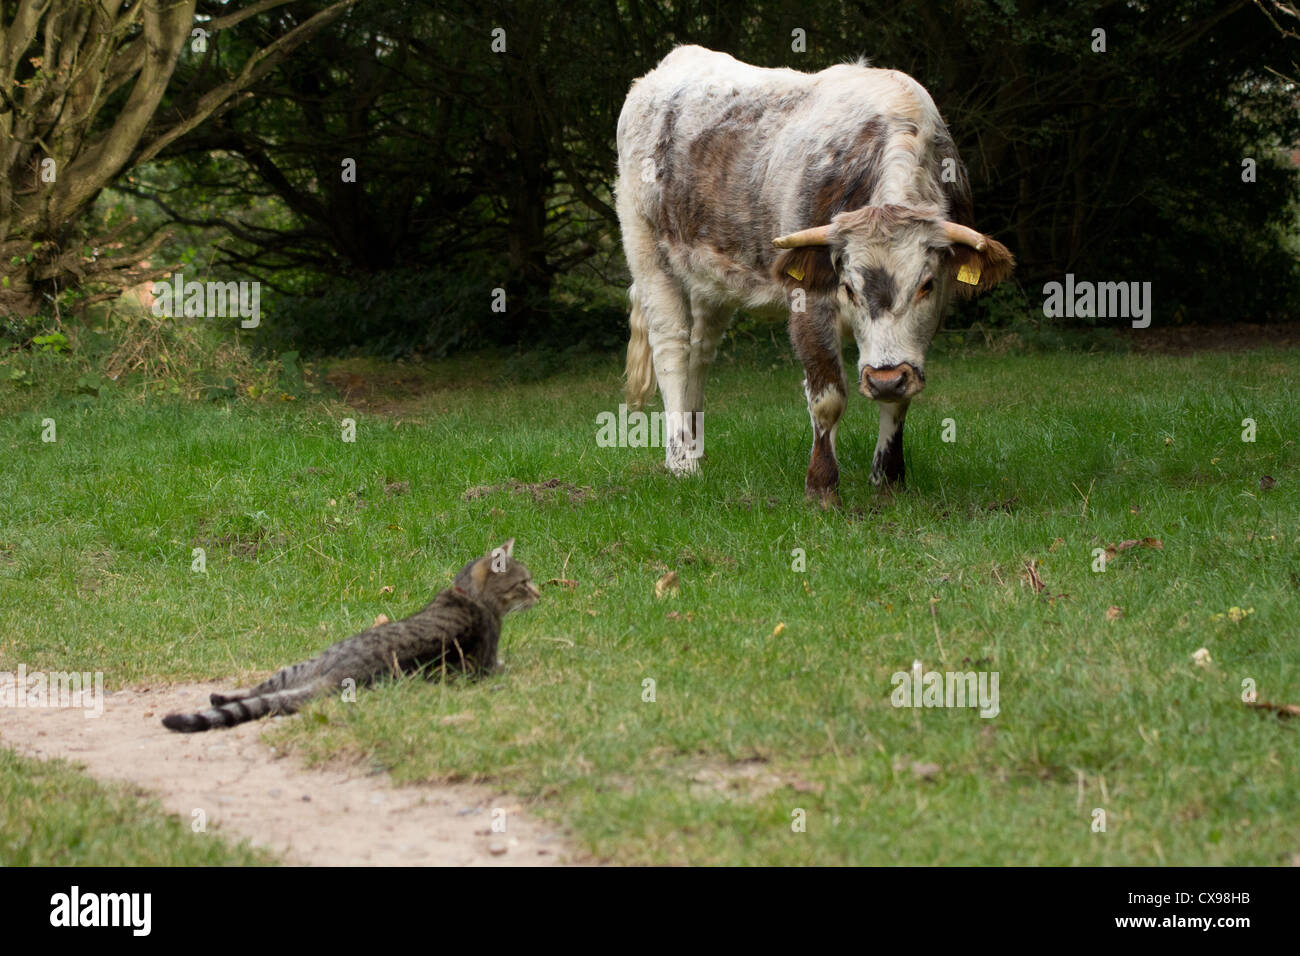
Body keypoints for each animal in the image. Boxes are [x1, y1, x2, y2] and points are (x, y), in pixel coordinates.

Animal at [161, 541, 538, 738]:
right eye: (524, 582)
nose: (539, 593)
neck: (470, 595)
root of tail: (340, 676)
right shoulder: (491, 663)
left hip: (305, 666)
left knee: (256, 691)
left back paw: (218, 698)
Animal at [618, 44, 1013, 504]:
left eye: (927, 285)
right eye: (848, 288)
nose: (884, 379)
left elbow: (898, 401)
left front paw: (888, 480)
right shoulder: (808, 299)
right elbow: (828, 397)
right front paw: (822, 486)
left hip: (709, 275)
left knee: (700, 350)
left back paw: (696, 449)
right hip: (647, 251)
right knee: (672, 349)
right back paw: (681, 462)